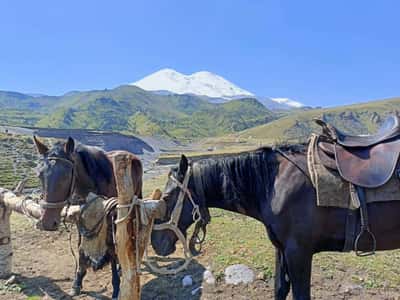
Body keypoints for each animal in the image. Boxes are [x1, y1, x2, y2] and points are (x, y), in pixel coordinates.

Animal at [33, 137, 142, 300]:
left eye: (66, 176)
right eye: (40, 175)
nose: (47, 222)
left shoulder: (109, 217)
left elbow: (111, 249)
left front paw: (116, 287)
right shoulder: (81, 217)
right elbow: (80, 248)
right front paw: (77, 281)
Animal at [152, 149, 400, 298]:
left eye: (167, 197)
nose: (156, 243)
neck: (274, 185)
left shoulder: (299, 253)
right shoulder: (281, 250)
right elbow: (280, 289)